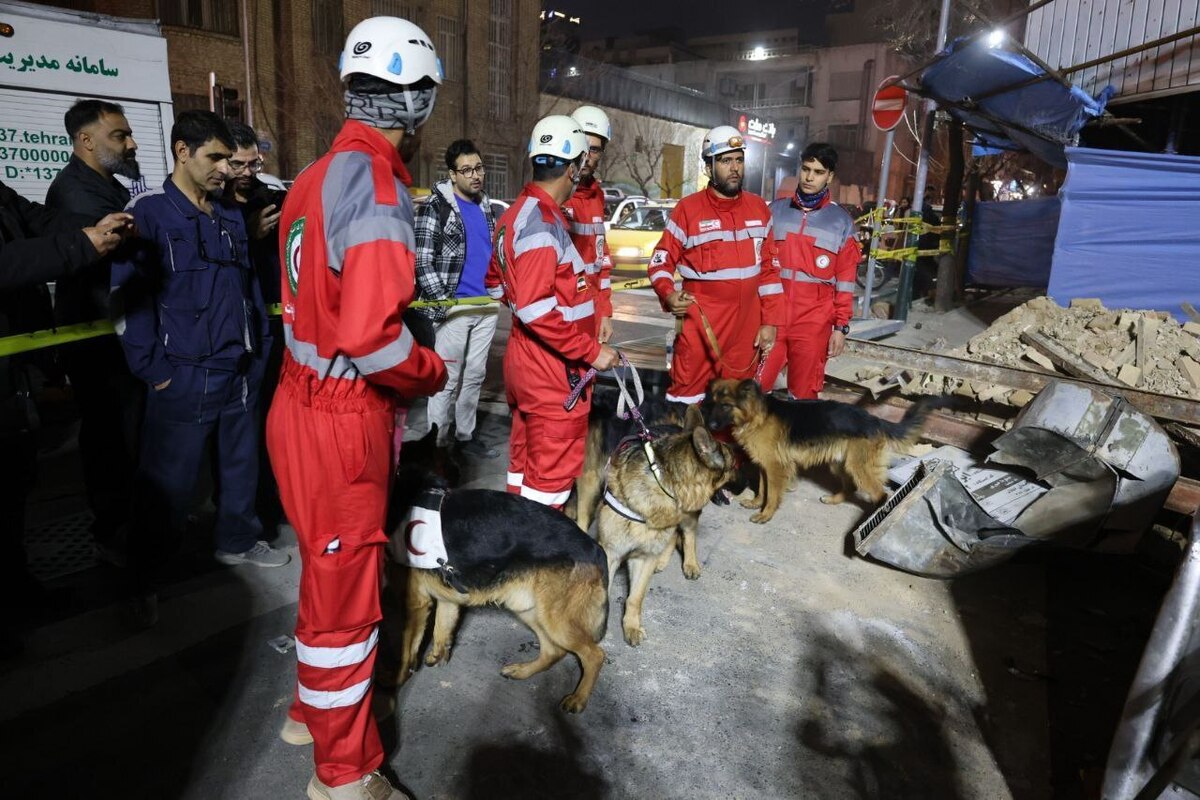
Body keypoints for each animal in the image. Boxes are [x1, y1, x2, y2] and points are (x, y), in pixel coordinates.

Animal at [396, 484, 609, 714]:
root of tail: (596, 549)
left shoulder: (415, 602)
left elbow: (406, 648)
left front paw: (393, 686)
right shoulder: (447, 599)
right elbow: (441, 631)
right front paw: (438, 656)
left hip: (555, 621)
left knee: (595, 655)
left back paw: (578, 698)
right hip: (530, 611)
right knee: (553, 651)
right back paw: (523, 671)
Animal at [595, 410, 734, 647]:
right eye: (735, 466)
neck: (663, 482)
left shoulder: (645, 558)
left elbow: (636, 598)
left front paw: (631, 626)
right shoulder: (611, 553)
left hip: (688, 517)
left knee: (687, 534)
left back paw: (689, 563)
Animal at [705, 381, 940, 525]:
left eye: (726, 405)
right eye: (713, 404)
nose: (710, 426)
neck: (757, 415)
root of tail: (874, 419)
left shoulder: (774, 467)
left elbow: (772, 494)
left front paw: (765, 515)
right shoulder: (765, 465)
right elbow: (763, 489)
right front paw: (756, 503)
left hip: (858, 467)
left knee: (881, 494)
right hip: (840, 463)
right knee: (851, 486)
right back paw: (834, 499)